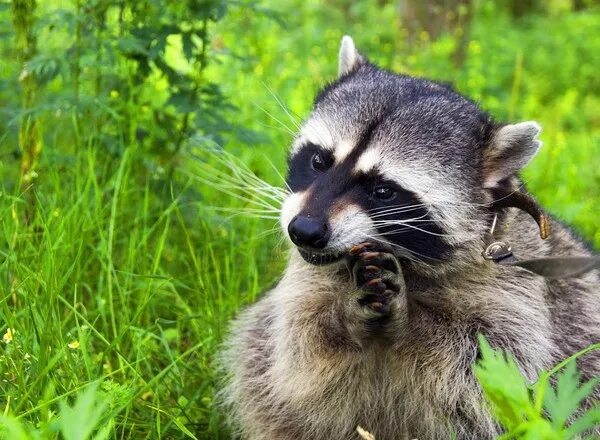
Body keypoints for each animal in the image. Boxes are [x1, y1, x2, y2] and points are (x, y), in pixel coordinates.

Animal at [221, 37, 600, 440]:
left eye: (384, 191)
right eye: (319, 161)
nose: (304, 231)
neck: (405, 258)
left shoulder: (515, 284)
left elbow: (493, 362)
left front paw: (409, 319)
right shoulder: (308, 280)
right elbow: (297, 345)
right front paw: (346, 314)